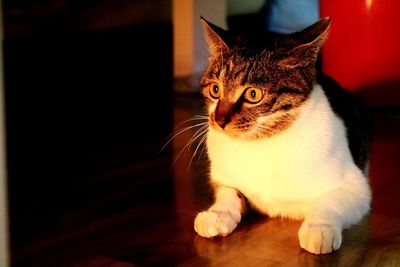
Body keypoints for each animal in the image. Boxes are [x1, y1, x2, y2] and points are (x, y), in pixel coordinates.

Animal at [194, 16, 372, 255]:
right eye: (215, 90)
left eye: (253, 94)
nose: (219, 121)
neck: (263, 144)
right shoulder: (224, 179)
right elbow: (229, 193)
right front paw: (216, 214)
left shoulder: (356, 187)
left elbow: (328, 203)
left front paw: (319, 228)